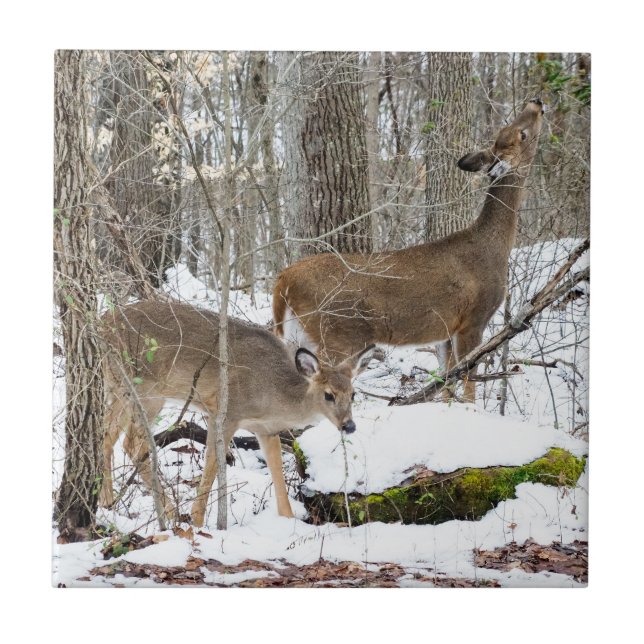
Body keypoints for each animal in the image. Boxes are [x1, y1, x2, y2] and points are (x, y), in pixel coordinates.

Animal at [99, 299, 378, 526]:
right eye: (328, 394)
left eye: (353, 394)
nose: (349, 425)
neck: (273, 393)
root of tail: (103, 325)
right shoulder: (225, 412)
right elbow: (213, 464)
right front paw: (197, 522)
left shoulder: (266, 430)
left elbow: (276, 470)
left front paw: (288, 520)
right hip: (146, 390)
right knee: (132, 444)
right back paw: (169, 511)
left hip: (118, 388)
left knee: (107, 434)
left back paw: (106, 501)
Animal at [273, 99, 544, 402]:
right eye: (521, 133)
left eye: (509, 128)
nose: (537, 103)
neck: (493, 246)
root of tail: (284, 279)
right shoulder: (474, 318)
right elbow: (468, 380)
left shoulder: (447, 328)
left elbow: (447, 382)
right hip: (337, 333)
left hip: (298, 334)